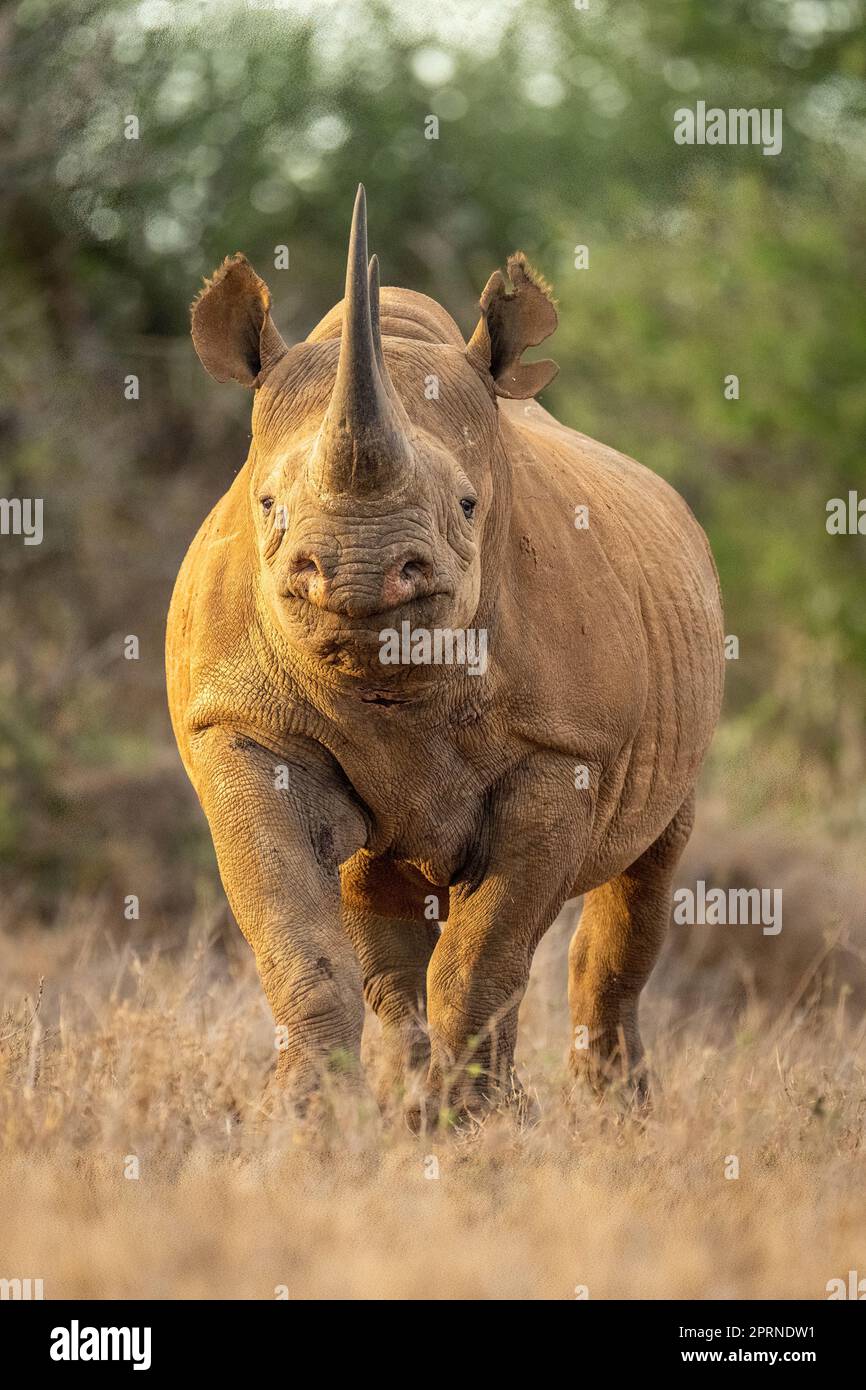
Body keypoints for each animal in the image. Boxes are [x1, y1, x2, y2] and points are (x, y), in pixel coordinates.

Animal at [166, 186, 724, 1122]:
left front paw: (473, 1127)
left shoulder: (562, 750)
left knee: (645, 872)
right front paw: (302, 1121)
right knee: (381, 909)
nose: (357, 570)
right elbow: (299, 942)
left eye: (467, 505)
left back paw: (614, 1112)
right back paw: (405, 1101)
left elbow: (484, 958)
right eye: (267, 504)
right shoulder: (242, 726)